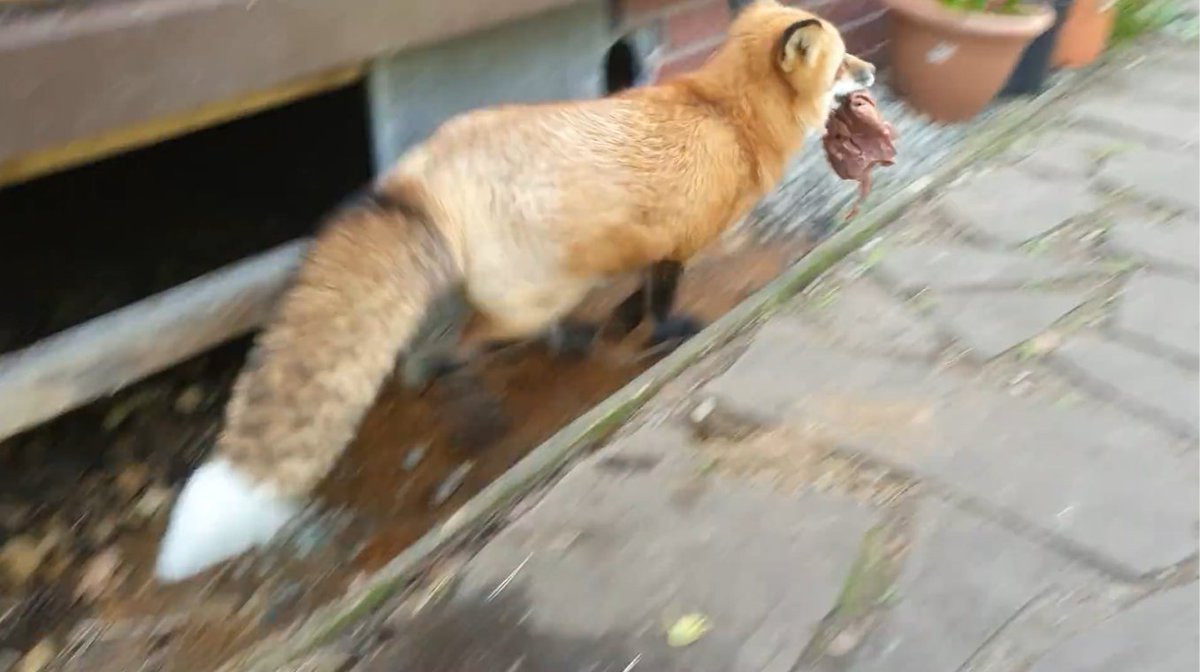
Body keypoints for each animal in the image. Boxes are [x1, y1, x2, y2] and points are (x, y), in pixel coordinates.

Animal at [154, 0, 877, 582]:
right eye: (843, 62)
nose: (872, 73)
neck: (727, 117)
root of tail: (425, 170)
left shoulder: (650, 246)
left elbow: (634, 298)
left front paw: (620, 327)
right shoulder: (677, 246)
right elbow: (660, 303)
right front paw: (663, 335)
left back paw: (562, 345)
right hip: (536, 294)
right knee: (456, 352)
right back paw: (480, 411)